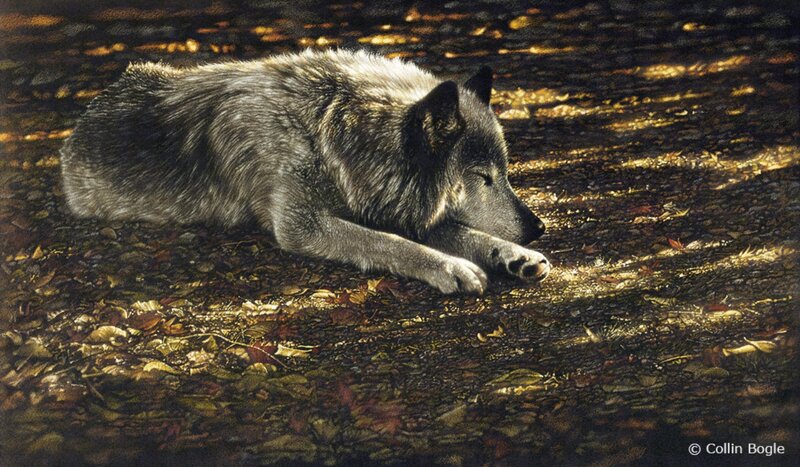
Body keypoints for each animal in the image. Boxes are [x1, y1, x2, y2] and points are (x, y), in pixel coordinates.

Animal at [60, 49, 550, 294]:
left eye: (506, 172)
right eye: (483, 178)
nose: (539, 227)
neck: (326, 128)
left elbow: (463, 233)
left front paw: (514, 256)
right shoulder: (303, 226)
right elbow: (390, 243)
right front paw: (451, 266)